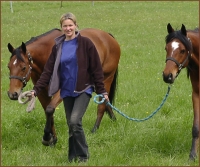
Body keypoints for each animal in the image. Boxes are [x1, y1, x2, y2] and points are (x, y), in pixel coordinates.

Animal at [163, 23, 199, 160]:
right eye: (166, 48)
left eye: (183, 50)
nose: (167, 76)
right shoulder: (196, 95)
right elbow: (196, 127)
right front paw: (193, 155)